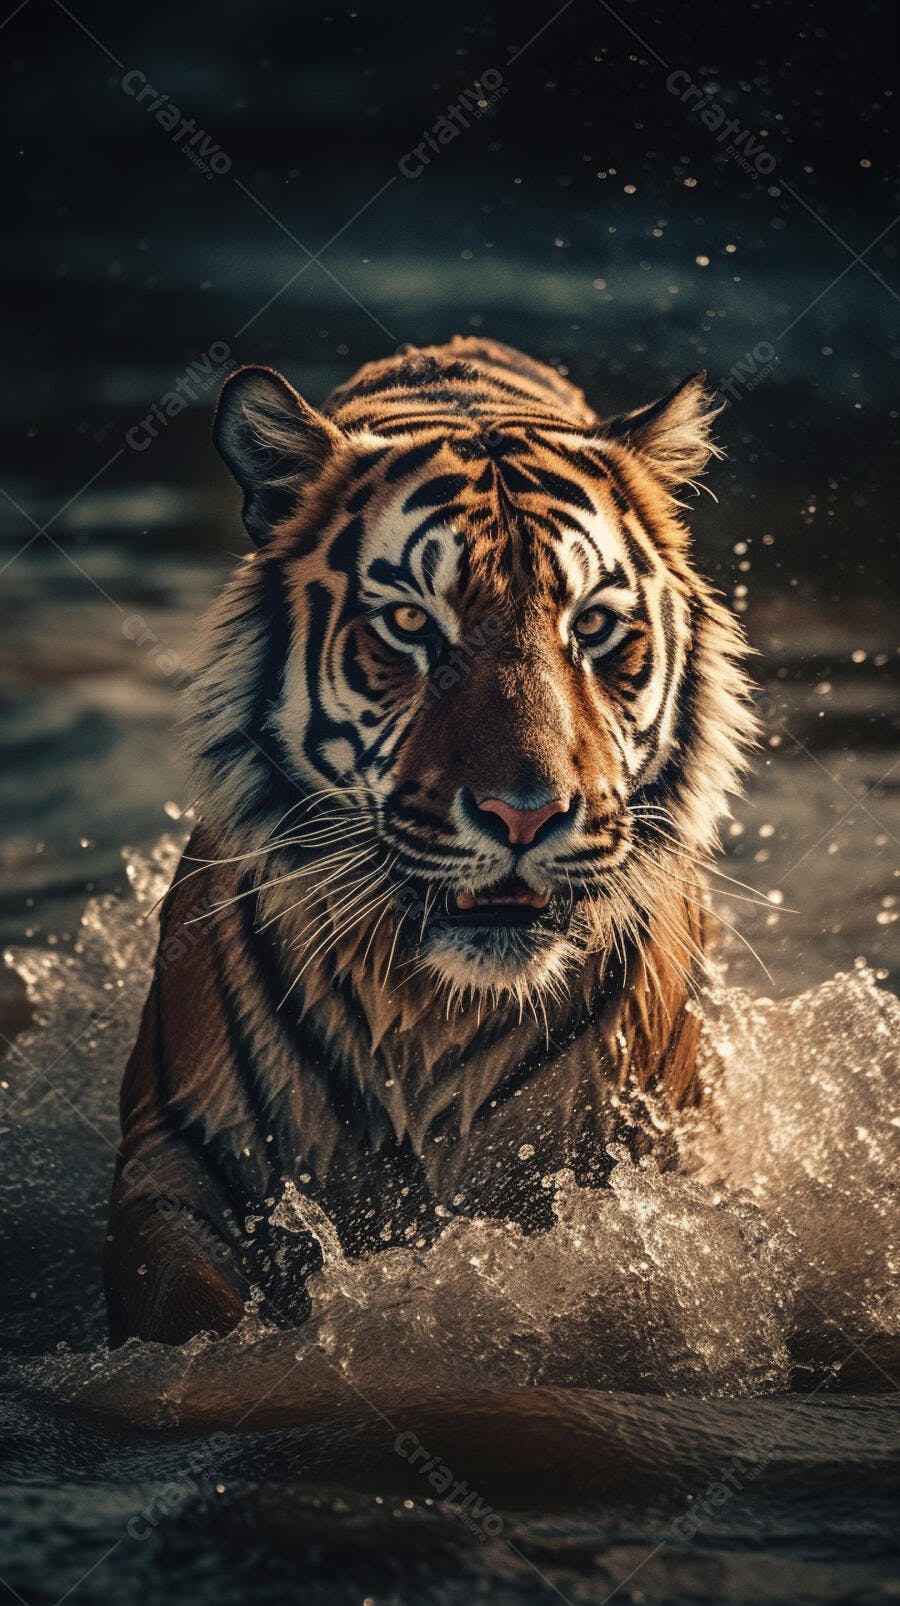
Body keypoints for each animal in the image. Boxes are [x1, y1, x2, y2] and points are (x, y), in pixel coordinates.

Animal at [104, 336, 757, 1346]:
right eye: (412, 622)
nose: (526, 813)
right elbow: (187, 1311)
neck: (432, 1013)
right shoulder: (168, 1163)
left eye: (593, 625)